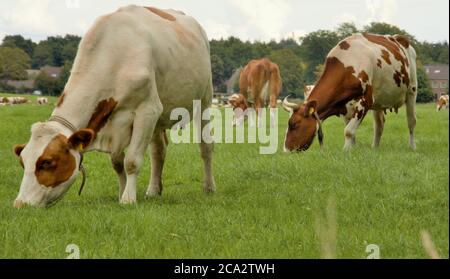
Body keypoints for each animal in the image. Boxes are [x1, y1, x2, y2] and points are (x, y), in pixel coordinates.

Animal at [10, 5, 214, 209]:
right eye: (23, 162)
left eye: (47, 162)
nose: (20, 204)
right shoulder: (116, 123)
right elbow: (117, 162)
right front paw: (122, 191)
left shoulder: (148, 110)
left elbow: (131, 161)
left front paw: (128, 199)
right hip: (159, 117)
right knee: (158, 151)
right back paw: (153, 190)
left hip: (204, 99)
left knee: (205, 147)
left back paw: (209, 187)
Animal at [284, 34, 418, 154]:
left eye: (294, 124)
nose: (286, 151)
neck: (348, 64)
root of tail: (399, 38)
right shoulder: (345, 107)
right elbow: (351, 132)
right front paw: (352, 149)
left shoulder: (365, 101)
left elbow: (348, 131)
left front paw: (346, 151)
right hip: (379, 101)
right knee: (379, 125)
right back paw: (375, 148)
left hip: (411, 90)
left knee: (411, 121)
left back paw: (412, 147)